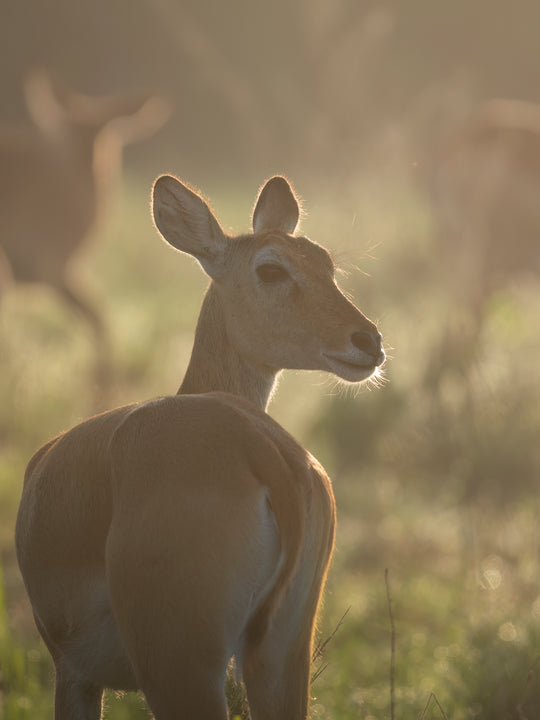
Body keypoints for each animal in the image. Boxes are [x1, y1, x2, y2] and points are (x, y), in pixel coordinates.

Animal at [0, 67, 169, 390]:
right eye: (61, 133)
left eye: (108, 138)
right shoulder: (47, 263)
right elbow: (98, 319)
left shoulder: (44, 268)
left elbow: (98, 319)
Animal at [14, 176, 386, 720]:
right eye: (272, 268)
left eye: (326, 266)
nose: (368, 341)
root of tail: (260, 448)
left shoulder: (73, 673)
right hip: (278, 659)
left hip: (181, 670)